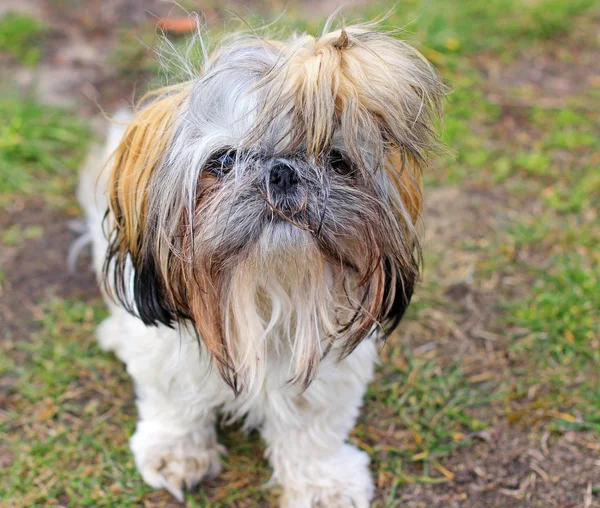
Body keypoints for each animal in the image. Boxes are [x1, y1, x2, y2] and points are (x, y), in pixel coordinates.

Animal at [77, 18, 446, 504]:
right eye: (224, 160)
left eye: (336, 160)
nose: (283, 171)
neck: (264, 292)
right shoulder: (167, 355)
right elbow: (176, 404)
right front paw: (176, 453)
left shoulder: (329, 371)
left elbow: (313, 430)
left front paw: (323, 483)